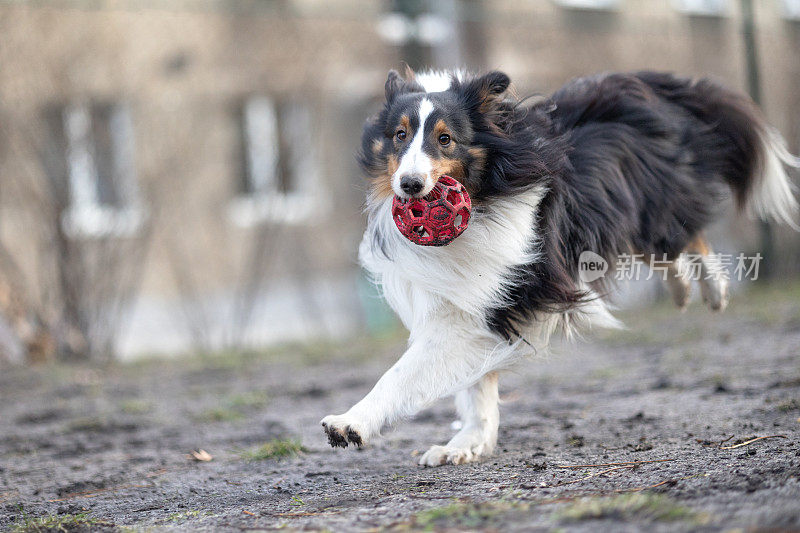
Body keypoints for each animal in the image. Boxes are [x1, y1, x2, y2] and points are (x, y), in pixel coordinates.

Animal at [320, 68, 800, 464]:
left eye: (445, 139)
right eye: (399, 135)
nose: (410, 185)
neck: (487, 193)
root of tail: (644, 82)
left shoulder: (500, 294)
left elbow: (404, 372)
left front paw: (349, 424)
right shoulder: (464, 302)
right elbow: (475, 386)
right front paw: (467, 444)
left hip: (648, 207)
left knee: (685, 232)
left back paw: (714, 289)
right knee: (670, 250)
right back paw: (682, 289)